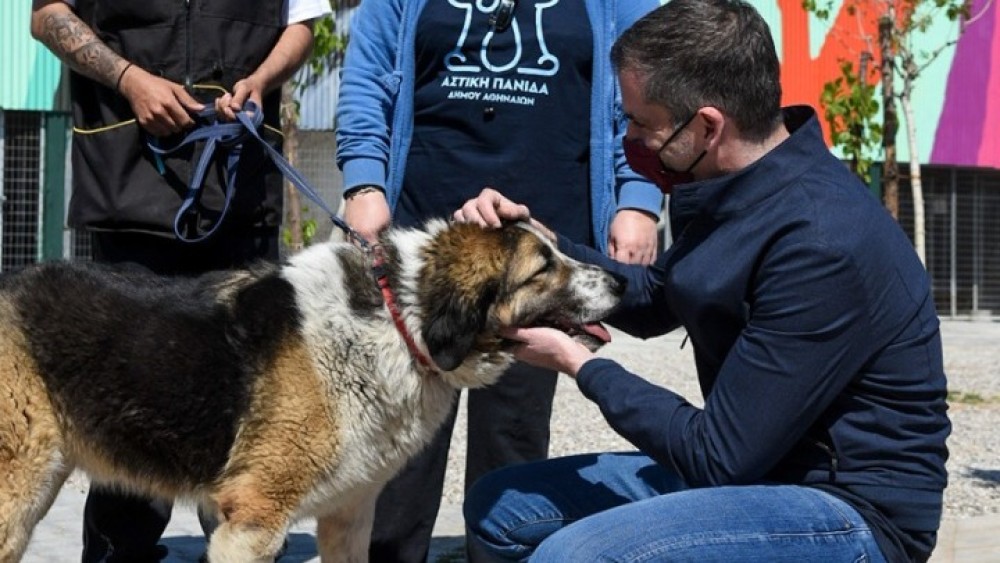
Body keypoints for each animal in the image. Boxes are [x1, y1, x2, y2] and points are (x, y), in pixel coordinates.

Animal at [0, 219, 620, 560]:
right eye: (543, 268)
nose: (620, 279)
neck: (398, 322)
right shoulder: (252, 521)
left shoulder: (350, 516)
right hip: (18, 494)